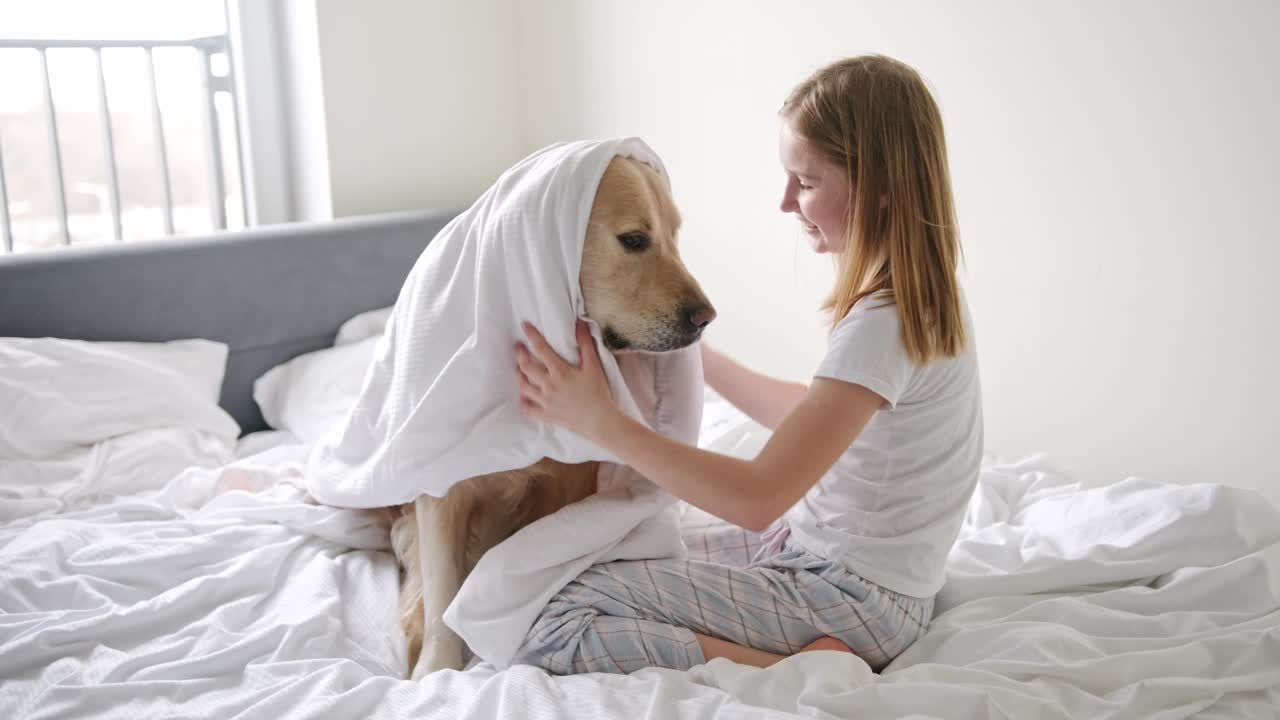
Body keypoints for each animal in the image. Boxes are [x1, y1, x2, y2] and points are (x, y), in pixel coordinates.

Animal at [389, 154, 716, 676]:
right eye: (634, 240)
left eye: (674, 235)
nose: (706, 318)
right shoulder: (441, 484)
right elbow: (440, 586)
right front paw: (437, 668)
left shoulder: (570, 483)